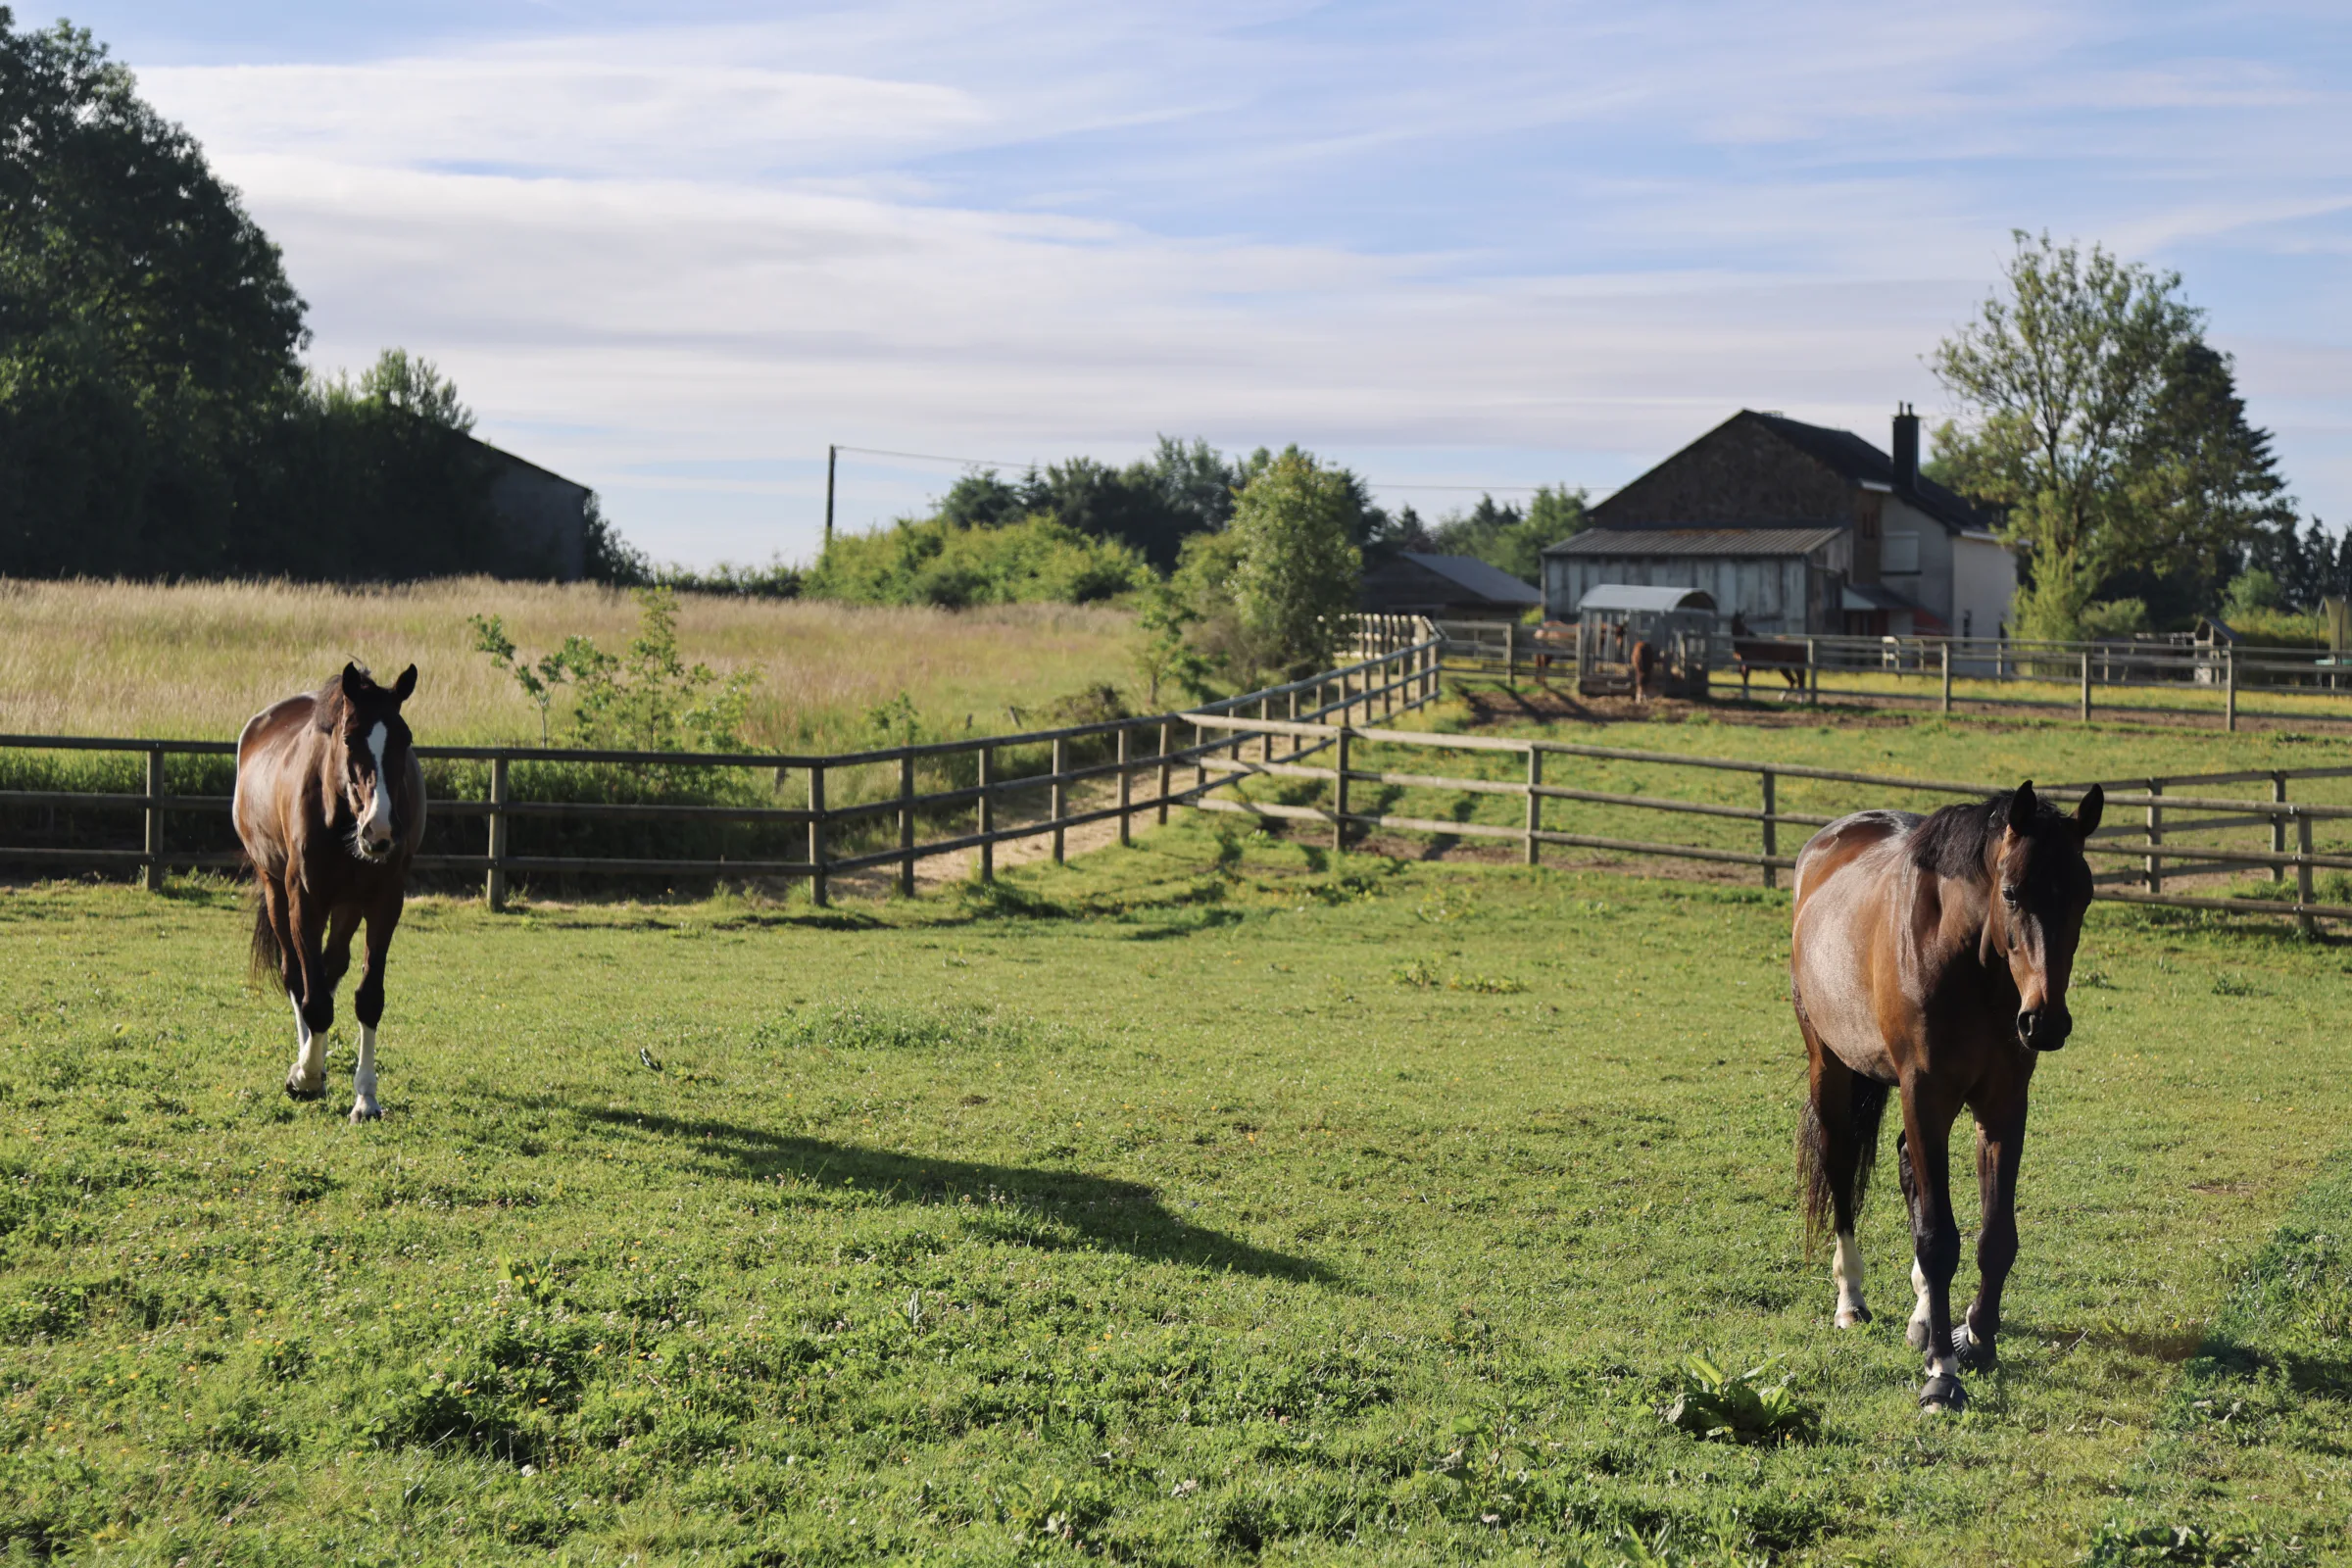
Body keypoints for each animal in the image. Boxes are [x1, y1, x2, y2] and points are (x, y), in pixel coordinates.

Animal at [233, 663, 426, 1122]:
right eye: (350, 737)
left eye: (405, 738)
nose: (379, 830)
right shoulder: (304, 900)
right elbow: (313, 998)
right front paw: (305, 1077)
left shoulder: (384, 902)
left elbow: (367, 997)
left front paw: (366, 1098)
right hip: (275, 890)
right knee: (297, 975)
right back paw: (309, 1063)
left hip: (348, 905)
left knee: (330, 965)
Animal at [1789, 779, 2103, 1412]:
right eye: (2011, 892)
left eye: (2083, 897)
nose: (2045, 1022)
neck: (1967, 962)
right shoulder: (1926, 1095)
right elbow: (1938, 1237)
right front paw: (1942, 1371)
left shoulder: (2003, 1105)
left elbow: (1995, 1236)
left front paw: (1976, 1336)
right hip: (1830, 1071)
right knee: (1841, 1170)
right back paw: (1851, 1299)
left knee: (1907, 1166)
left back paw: (1919, 1315)